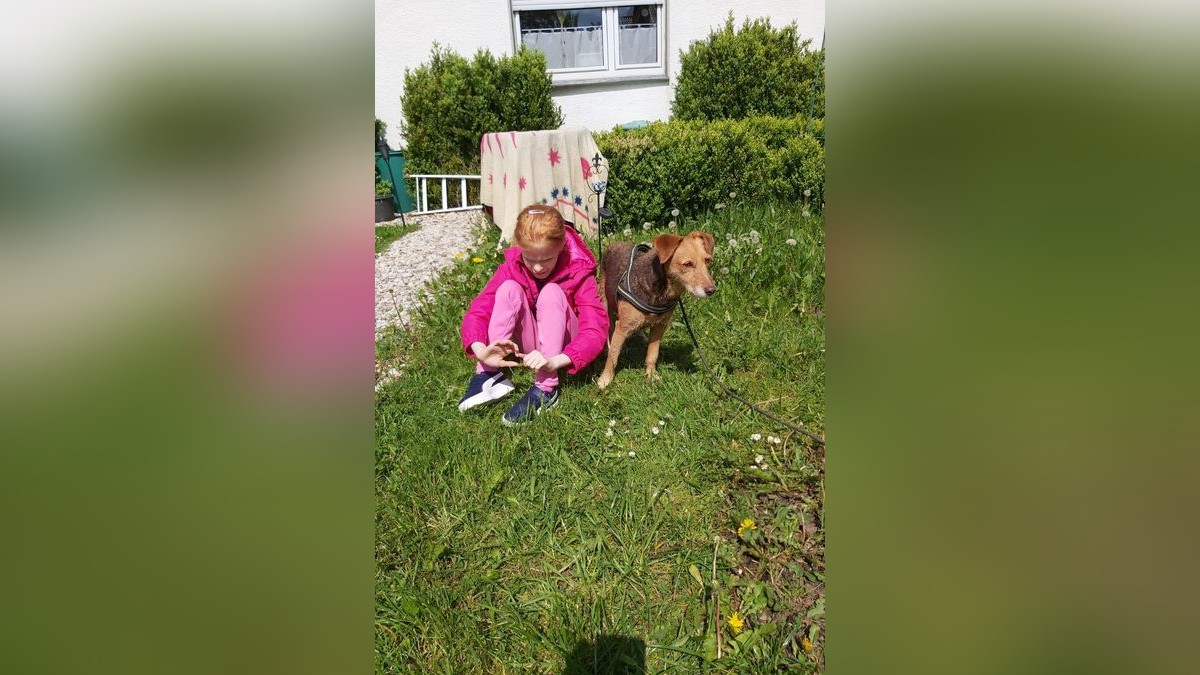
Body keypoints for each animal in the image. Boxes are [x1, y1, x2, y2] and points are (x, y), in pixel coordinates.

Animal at [597, 230, 715, 389]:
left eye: (707, 260)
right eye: (688, 264)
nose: (711, 290)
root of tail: (614, 243)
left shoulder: (660, 326)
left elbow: (652, 354)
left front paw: (651, 375)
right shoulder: (622, 327)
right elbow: (613, 356)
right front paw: (605, 379)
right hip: (605, 303)